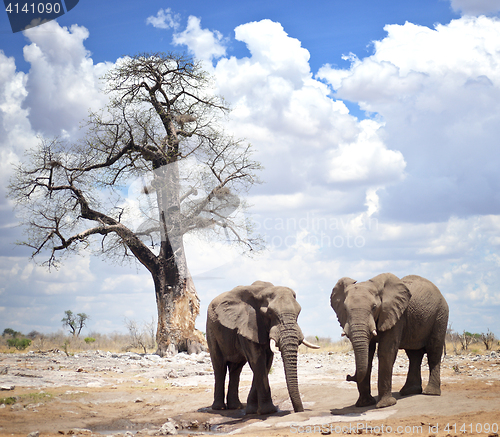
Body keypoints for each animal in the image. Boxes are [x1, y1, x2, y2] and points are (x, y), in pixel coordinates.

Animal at [205, 282, 318, 414]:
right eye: (270, 313)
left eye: (299, 312)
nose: (299, 411)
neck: (263, 291)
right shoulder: (248, 323)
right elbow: (257, 360)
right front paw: (268, 411)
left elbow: (266, 363)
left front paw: (252, 409)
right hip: (211, 329)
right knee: (220, 366)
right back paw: (219, 408)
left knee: (236, 368)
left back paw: (236, 407)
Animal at [330, 272, 452, 408]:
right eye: (345, 309)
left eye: (374, 307)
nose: (348, 376)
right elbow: (368, 353)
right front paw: (364, 404)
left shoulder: (395, 315)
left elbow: (386, 351)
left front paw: (385, 405)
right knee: (414, 355)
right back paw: (409, 391)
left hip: (440, 315)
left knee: (434, 351)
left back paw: (430, 393)